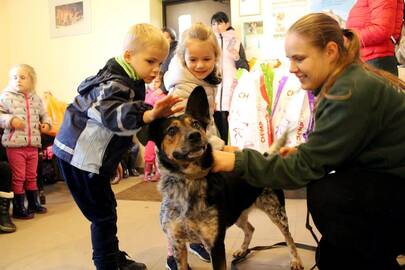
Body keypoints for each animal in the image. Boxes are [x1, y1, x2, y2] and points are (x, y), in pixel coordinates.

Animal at [137, 87, 302, 270]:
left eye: (196, 124)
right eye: (171, 131)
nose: (195, 135)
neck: (188, 181)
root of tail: (266, 157)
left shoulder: (215, 244)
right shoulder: (177, 243)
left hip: (277, 213)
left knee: (289, 238)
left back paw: (295, 260)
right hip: (237, 213)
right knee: (250, 228)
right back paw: (243, 250)